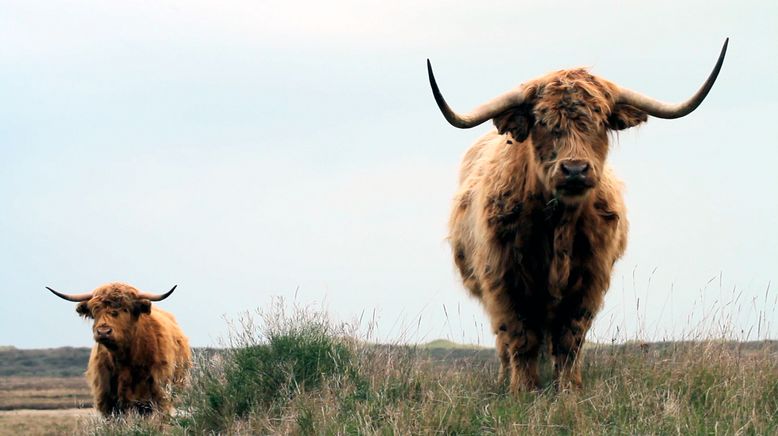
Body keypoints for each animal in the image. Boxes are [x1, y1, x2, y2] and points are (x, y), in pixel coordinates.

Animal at [47, 282, 191, 416]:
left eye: (125, 309)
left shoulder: (159, 395)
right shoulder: (107, 401)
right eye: (95, 310)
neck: (126, 359)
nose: (103, 332)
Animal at [428, 39, 724, 390]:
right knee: (505, 342)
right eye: (543, 122)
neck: (560, 227)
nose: (574, 170)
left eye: (600, 122)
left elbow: (570, 339)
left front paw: (569, 388)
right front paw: (523, 389)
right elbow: (520, 337)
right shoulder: (504, 279)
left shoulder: (589, 281)